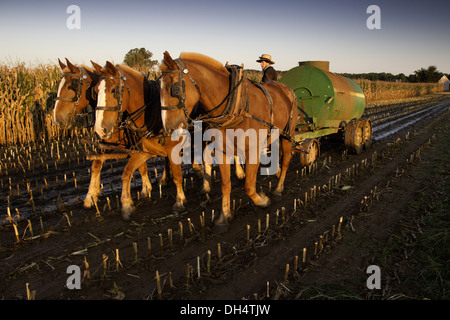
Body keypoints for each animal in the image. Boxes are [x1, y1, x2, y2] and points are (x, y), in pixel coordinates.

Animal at [159, 52, 298, 228]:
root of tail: (288, 90)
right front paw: (224, 216)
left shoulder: (252, 151)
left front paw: (263, 200)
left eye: (175, 89)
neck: (237, 106)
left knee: (286, 160)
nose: (168, 130)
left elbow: (249, 186)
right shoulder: (222, 151)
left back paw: (279, 189)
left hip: (288, 134)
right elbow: (225, 184)